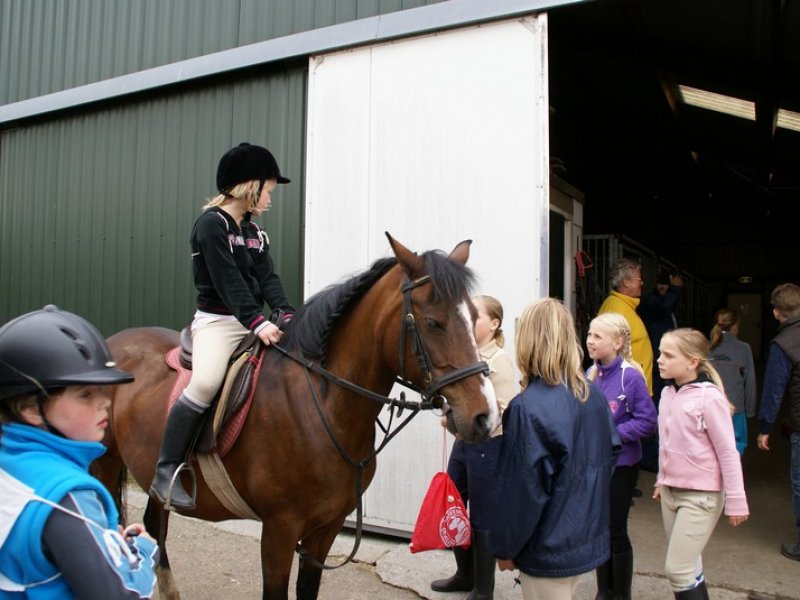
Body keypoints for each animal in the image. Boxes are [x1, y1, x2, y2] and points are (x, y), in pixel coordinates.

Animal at [92, 234, 494, 600]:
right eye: (433, 322)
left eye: (475, 318)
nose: (483, 417)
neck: (321, 407)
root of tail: (111, 343)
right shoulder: (279, 531)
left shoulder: (325, 528)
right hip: (105, 464)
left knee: (154, 524)